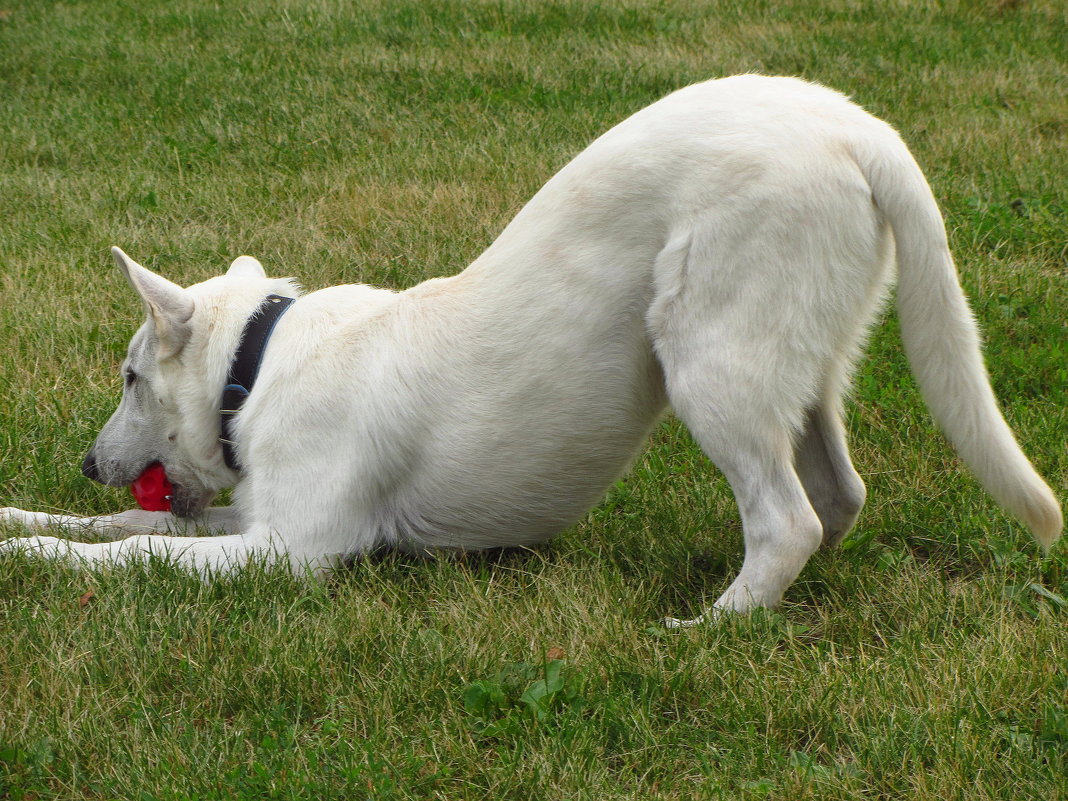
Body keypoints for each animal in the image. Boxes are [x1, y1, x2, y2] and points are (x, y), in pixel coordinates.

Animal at [6, 75, 1059, 623]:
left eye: (130, 378)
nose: (89, 461)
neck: (255, 361)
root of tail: (854, 125)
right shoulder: (253, 520)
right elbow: (128, 525)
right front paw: (28, 516)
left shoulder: (290, 550)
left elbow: (134, 551)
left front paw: (32, 559)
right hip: (800, 368)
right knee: (836, 496)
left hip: (707, 356)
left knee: (788, 518)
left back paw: (708, 626)